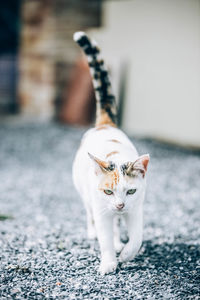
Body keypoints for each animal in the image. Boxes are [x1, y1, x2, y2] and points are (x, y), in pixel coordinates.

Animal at [72, 31, 149, 276]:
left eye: (131, 191)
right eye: (108, 191)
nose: (120, 205)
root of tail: (105, 124)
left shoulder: (136, 209)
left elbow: (136, 238)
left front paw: (126, 254)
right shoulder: (102, 208)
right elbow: (104, 237)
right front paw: (108, 262)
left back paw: (118, 243)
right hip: (85, 193)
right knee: (90, 213)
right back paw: (93, 233)